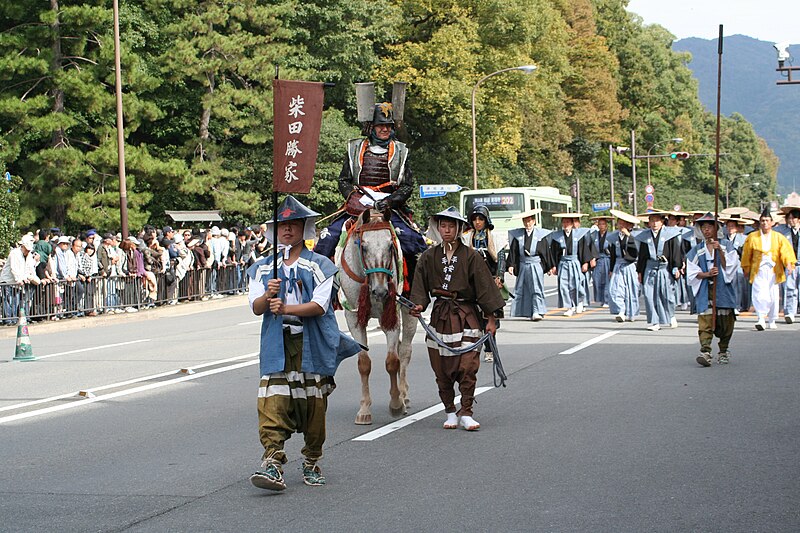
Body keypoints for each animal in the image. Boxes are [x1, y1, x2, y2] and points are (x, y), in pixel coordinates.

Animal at [334, 208, 416, 424]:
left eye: (390, 246)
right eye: (363, 246)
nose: (380, 291)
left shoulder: (391, 314)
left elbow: (392, 361)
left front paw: (396, 404)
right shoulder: (353, 318)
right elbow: (364, 363)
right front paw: (364, 410)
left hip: (410, 310)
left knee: (404, 351)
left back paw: (404, 396)